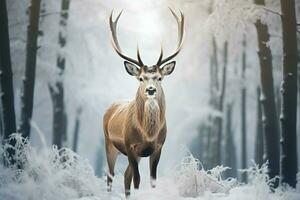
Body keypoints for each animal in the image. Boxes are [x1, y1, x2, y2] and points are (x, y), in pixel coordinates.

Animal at [102, 8, 183, 196]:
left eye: (159, 77)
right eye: (141, 78)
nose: (151, 90)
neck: (148, 134)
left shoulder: (158, 147)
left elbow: (152, 180)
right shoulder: (130, 145)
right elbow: (137, 180)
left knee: (125, 176)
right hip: (109, 143)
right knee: (110, 176)